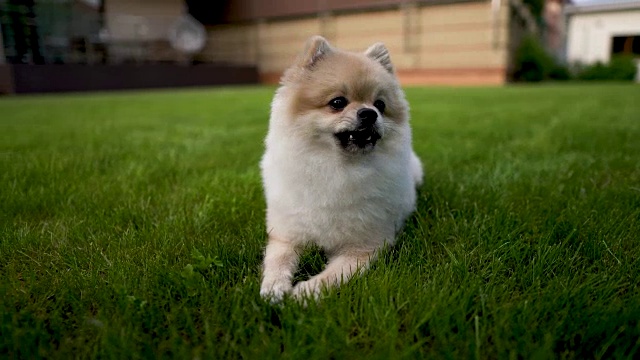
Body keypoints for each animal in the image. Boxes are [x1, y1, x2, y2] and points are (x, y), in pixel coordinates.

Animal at [258, 36, 422, 300]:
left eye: (380, 104)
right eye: (337, 103)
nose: (369, 113)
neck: (336, 169)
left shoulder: (363, 247)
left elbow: (333, 275)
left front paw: (305, 292)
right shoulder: (286, 235)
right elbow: (278, 260)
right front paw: (274, 287)